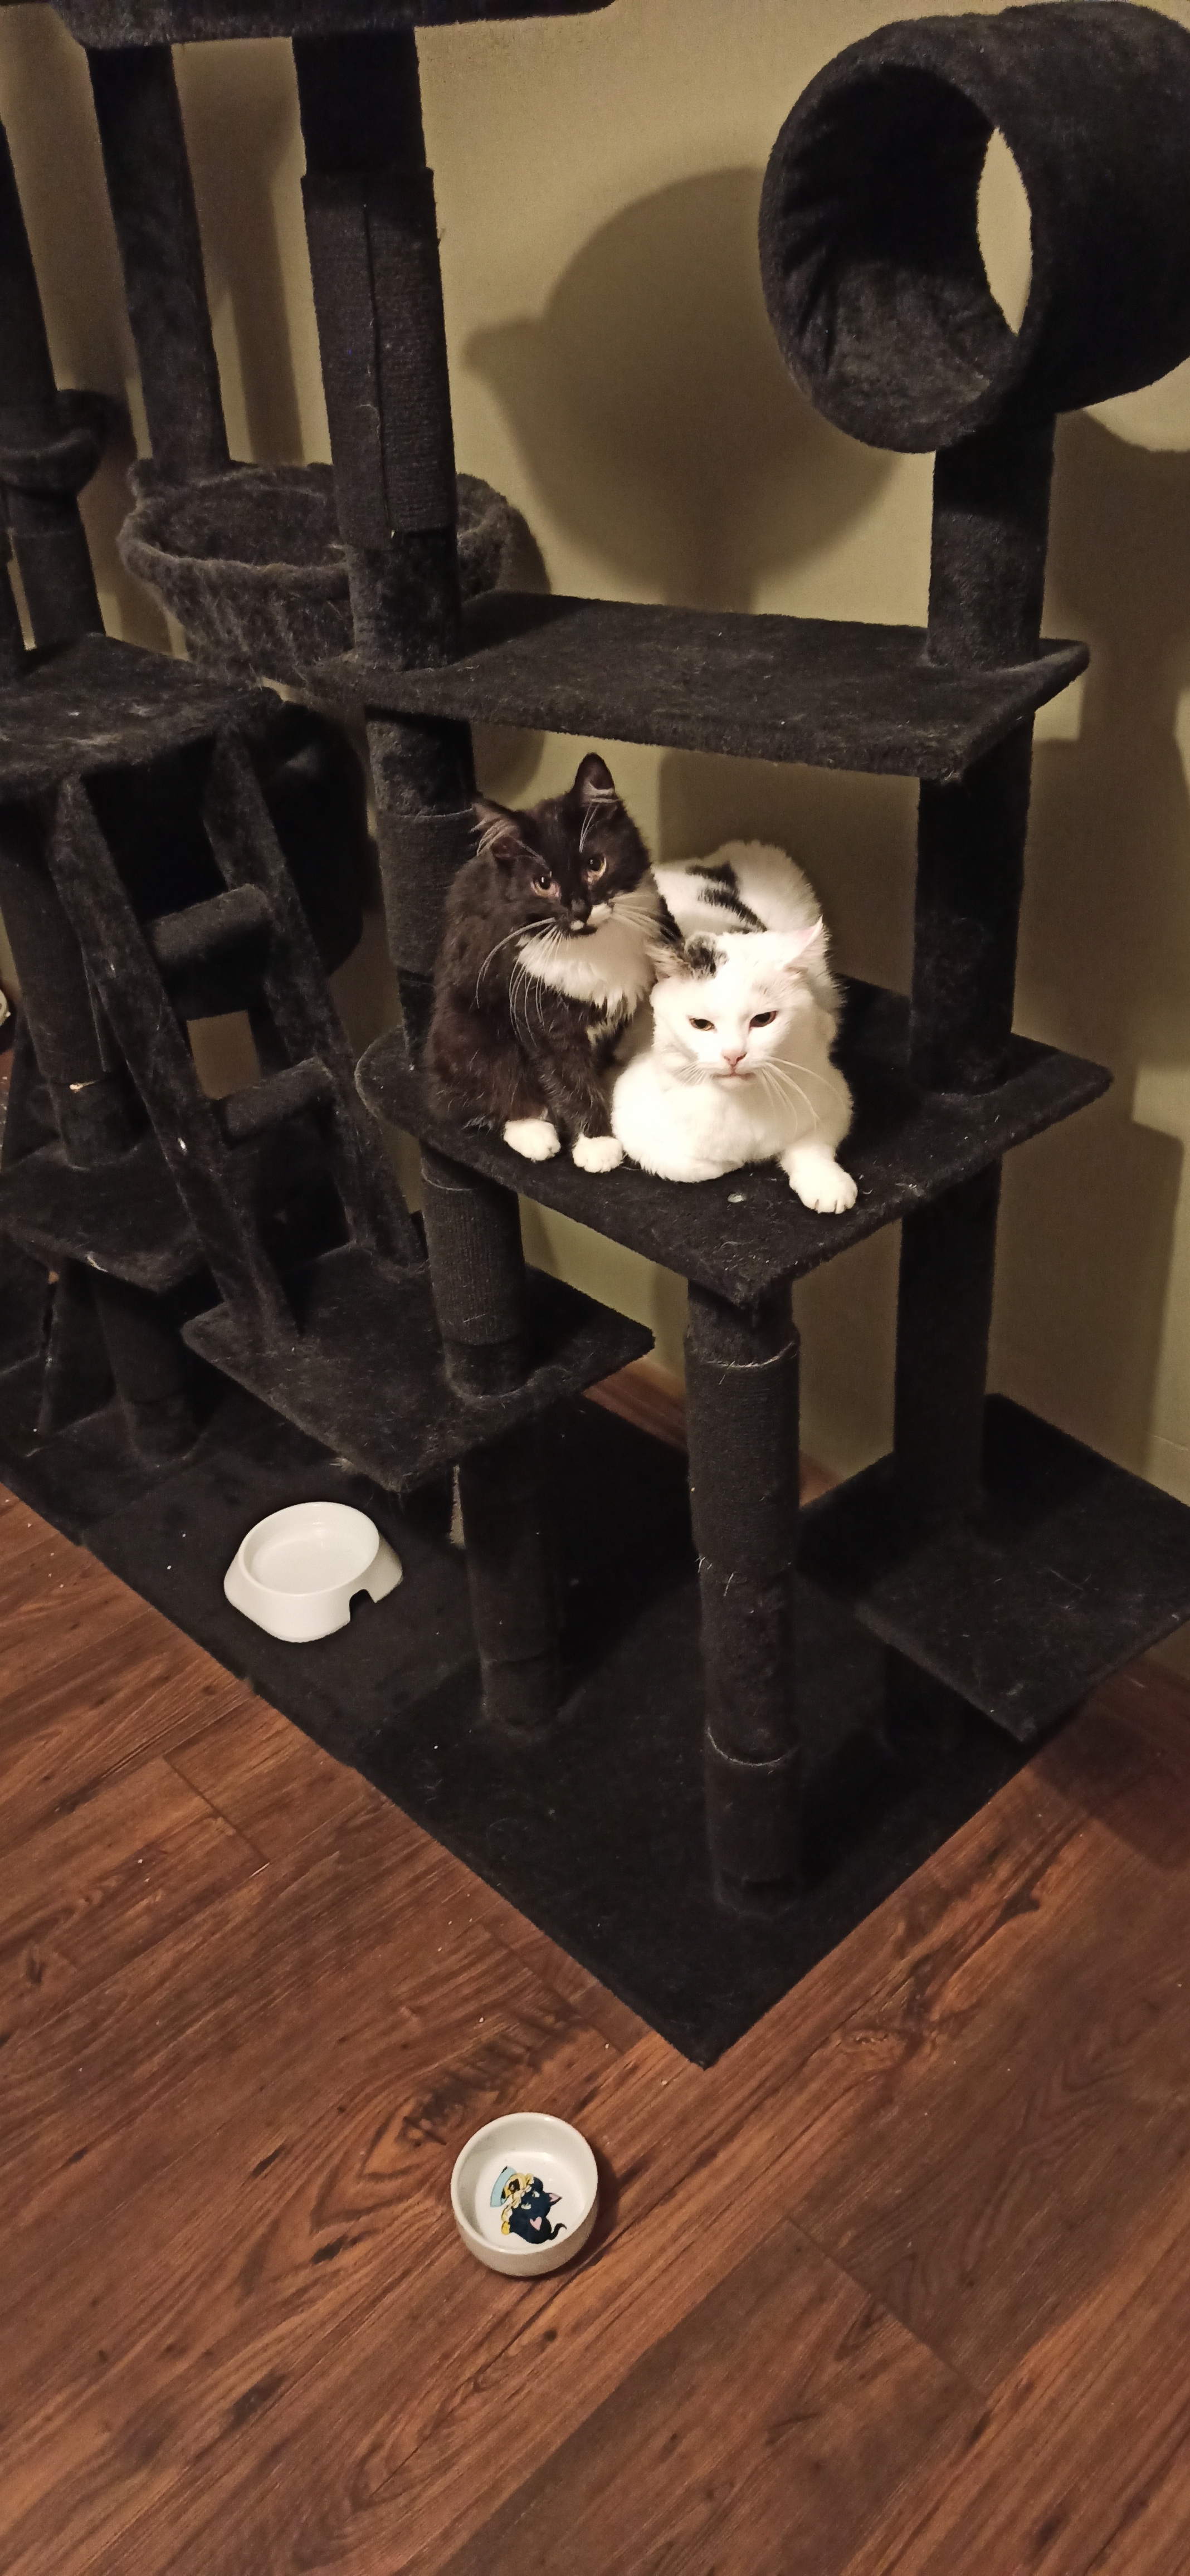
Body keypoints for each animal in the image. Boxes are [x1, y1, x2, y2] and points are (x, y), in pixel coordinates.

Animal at [426, 751, 661, 1173]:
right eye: (543, 883)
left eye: (595, 864)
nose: (580, 909)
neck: (590, 947)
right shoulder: (539, 1015)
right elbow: (569, 1080)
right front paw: (597, 1143)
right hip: (467, 1026)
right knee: (495, 1084)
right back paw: (533, 1132)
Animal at [609, 842, 857, 1212]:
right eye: (701, 1024)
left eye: (763, 1020)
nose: (733, 1056)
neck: (743, 1107)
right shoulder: (629, 1119)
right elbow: (695, 1165)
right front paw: (734, 1161)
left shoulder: (834, 1094)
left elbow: (811, 1145)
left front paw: (827, 1183)